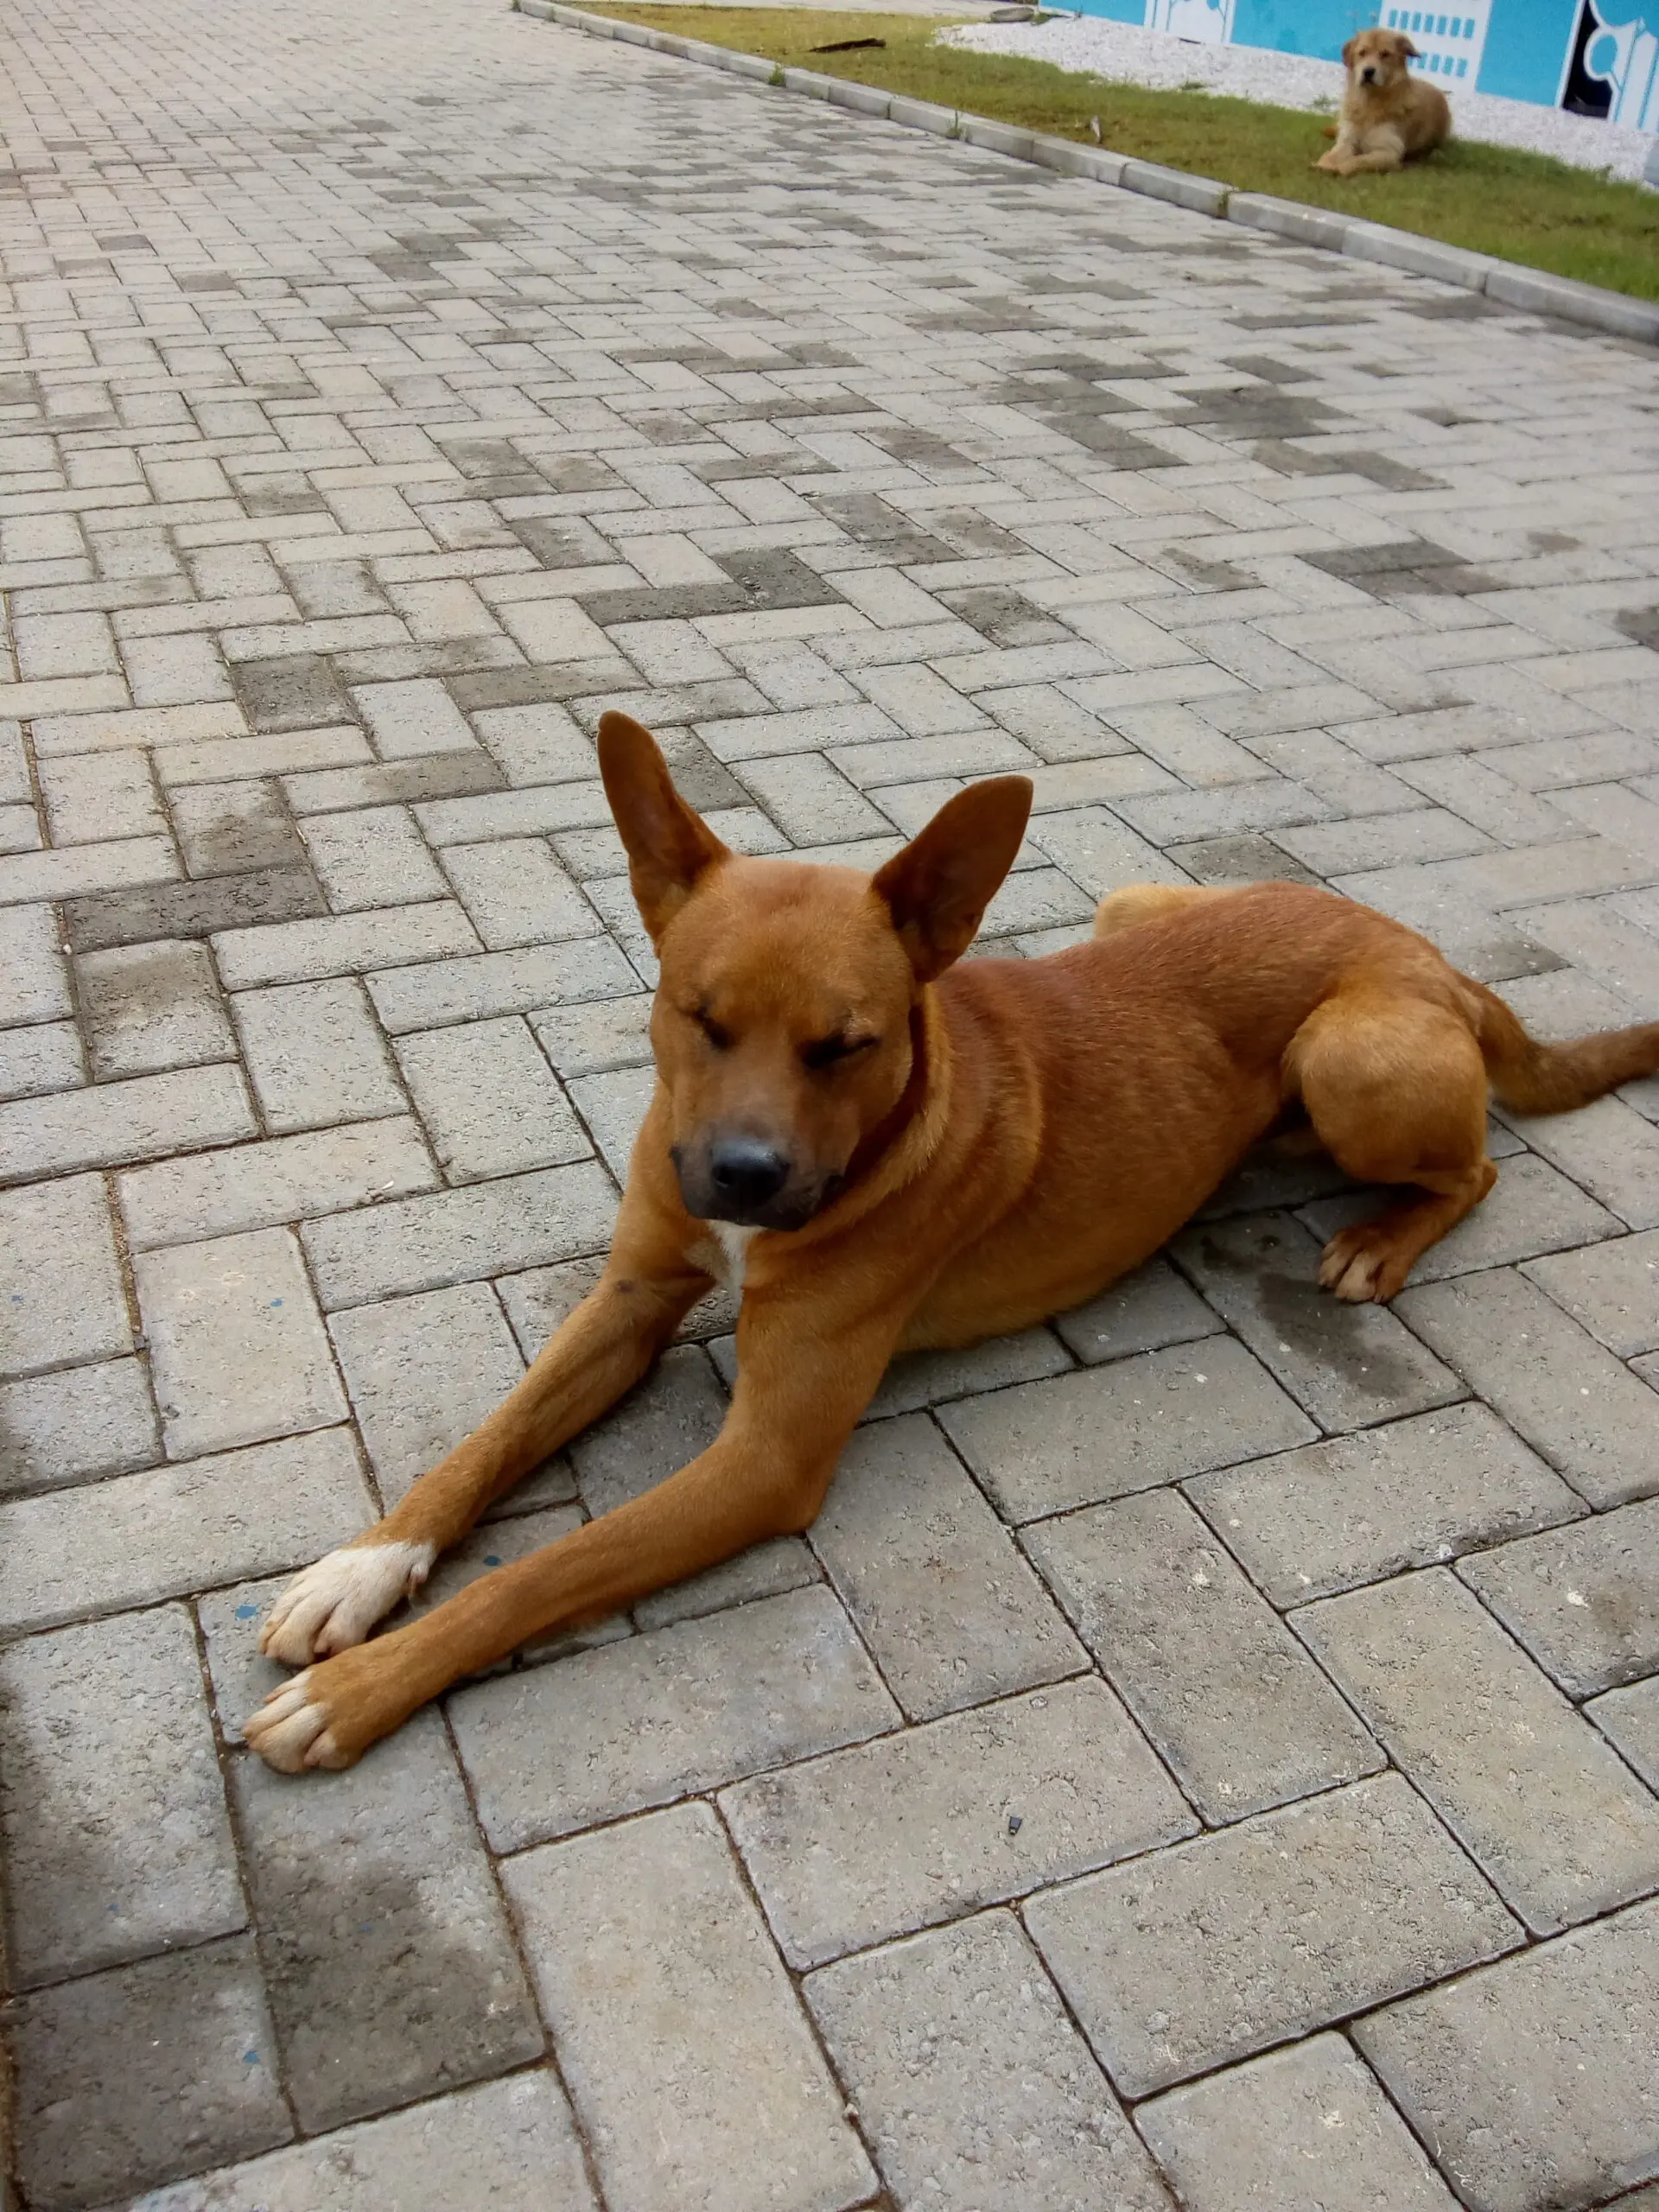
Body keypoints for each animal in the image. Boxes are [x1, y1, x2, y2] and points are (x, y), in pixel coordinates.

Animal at [245, 712, 1659, 1772]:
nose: (741, 1178)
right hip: (1132, 904)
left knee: (1476, 1167)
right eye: (698, 1017)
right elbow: (483, 1445)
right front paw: (362, 1571)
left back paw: (1383, 1237)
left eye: (846, 1044)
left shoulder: (764, 1457)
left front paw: (361, 1690)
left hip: (1352, 1058)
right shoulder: (632, 1297)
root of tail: (1427, 951)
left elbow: (537, 1574)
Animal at [1317, 28, 1450, 176]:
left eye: (1385, 54)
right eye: (1362, 53)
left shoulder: (1390, 152)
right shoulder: (1347, 141)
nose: (1368, 71)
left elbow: (1359, 160)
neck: (1370, 103)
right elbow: (1332, 154)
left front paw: (1341, 168)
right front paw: (1324, 163)